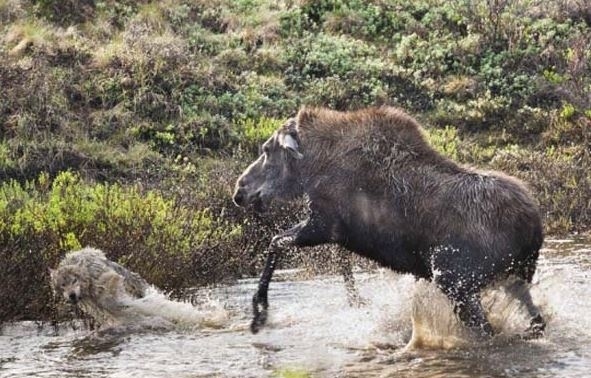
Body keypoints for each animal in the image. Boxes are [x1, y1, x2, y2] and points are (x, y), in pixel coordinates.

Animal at [234, 105, 548, 338]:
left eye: (267, 150)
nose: (240, 190)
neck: (313, 165)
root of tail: (532, 228)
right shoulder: (335, 231)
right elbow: (341, 266)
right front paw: (356, 302)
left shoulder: (322, 223)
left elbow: (276, 243)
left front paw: (259, 312)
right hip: (516, 277)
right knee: (537, 321)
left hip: (455, 279)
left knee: (487, 330)